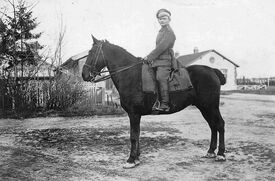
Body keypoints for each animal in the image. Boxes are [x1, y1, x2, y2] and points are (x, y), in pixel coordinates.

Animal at [83, 36, 227, 169]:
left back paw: (220, 154)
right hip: (204, 108)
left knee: (219, 125)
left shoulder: (134, 114)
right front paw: (137, 158)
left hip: (211, 106)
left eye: (92, 51)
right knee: (213, 126)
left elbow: (133, 136)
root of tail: (212, 71)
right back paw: (210, 152)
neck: (130, 74)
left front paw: (130, 160)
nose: (84, 74)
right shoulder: (136, 115)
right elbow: (137, 134)